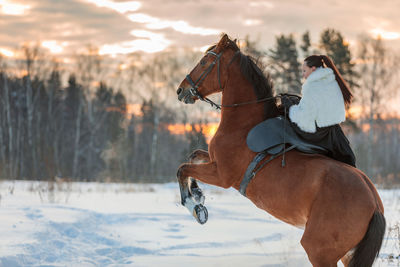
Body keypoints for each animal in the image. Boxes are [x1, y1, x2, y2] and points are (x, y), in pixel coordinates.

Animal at [177, 34, 386, 267]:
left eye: (205, 62)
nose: (181, 90)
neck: (242, 125)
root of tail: (375, 204)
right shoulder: (212, 161)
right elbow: (193, 156)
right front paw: (197, 193)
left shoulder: (221, 175)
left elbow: (182, 169)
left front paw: (195, 206)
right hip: (346, 254)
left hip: (319, 252)